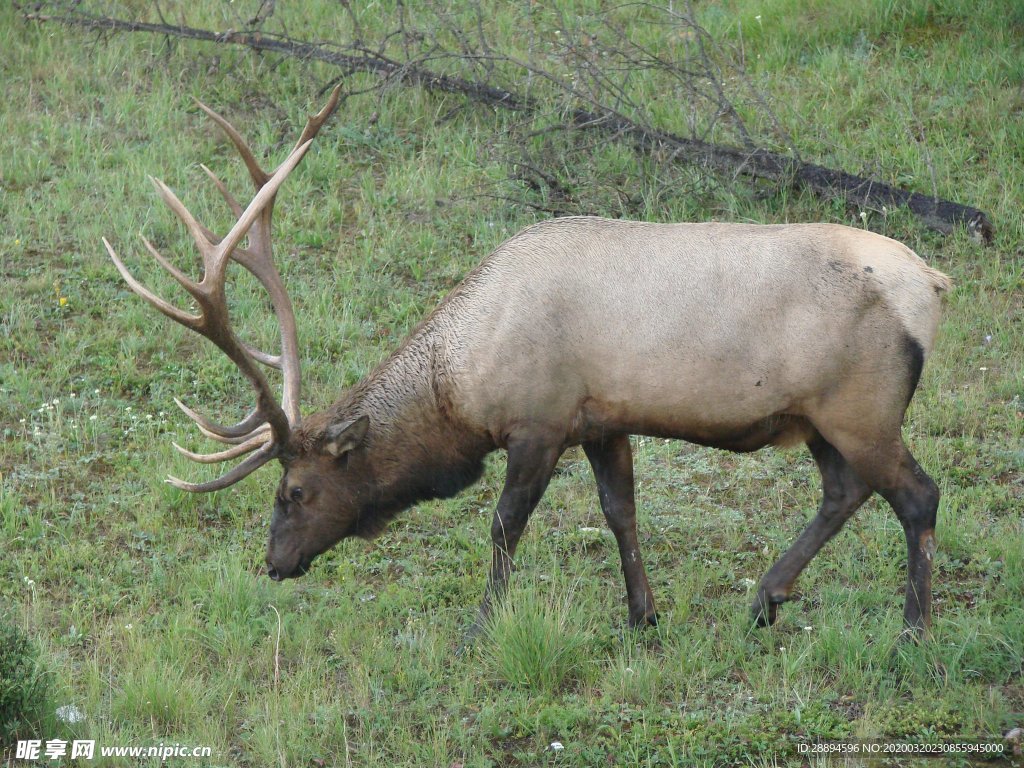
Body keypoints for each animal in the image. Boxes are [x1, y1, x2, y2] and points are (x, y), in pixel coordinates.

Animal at [108, 90, 946, 638]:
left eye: (296, 491)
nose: (274, 564)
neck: (463, 382)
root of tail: (934, 285)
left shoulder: (538, 422)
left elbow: (504, 525)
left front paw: (482, 626)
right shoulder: (603, 419)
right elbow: (620, 513)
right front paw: (643, 616)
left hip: (861, 408)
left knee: (917, 495)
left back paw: (912, 630)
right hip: (817, 418)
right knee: (844, 491)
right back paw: (766, 598)